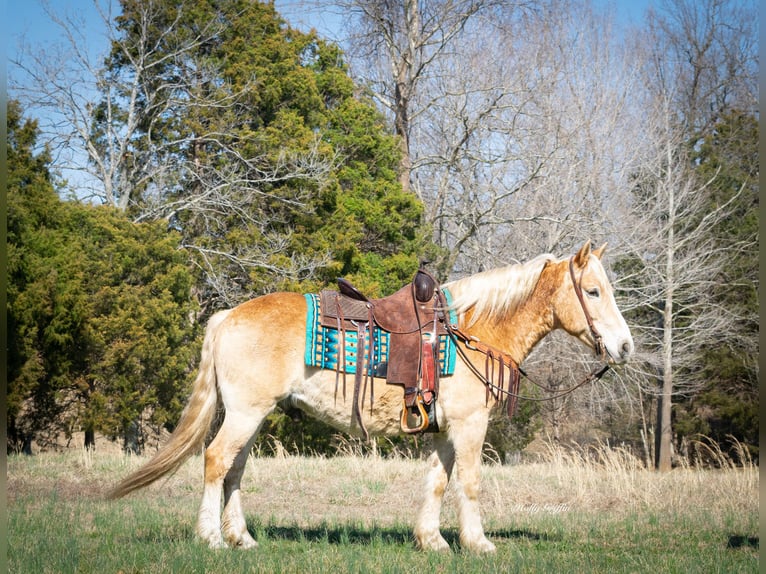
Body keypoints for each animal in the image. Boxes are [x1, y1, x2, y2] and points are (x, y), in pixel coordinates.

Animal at [108, 242, 636, 552]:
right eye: (592, 291)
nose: (626, 347)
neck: (473, 330)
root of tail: (226, 316)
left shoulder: (443, 430)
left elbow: (437, 482)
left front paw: (432, 542)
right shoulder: (469, 425)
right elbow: (469, 484)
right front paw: (479, 544)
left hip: (251, 416)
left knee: (233, 469)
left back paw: (243, 537)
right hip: (243, 414)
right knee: (217, 461)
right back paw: (213, 539)